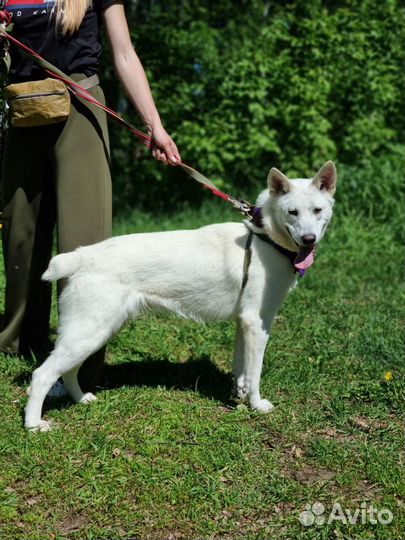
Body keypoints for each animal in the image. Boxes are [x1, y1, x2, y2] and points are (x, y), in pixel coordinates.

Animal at [23, 160, 336, 430]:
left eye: (317, 210)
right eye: (292, 212)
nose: (309, 240)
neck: (264, 237)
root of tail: (83, 255)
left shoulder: (244, 324)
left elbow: (241, 370)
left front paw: (239, 396)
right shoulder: (257, 324)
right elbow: (255, 374)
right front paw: (257, 405)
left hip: (93, 334)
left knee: (67, 372)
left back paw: (80, 400)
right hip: (89, 333)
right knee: (42, 375)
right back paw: (33, 424)